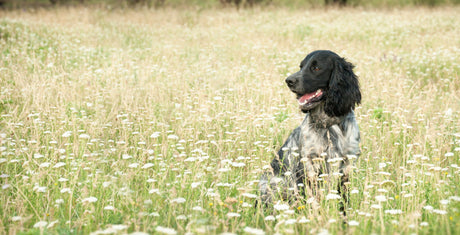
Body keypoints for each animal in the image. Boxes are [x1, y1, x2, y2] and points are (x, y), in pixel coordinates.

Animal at [258, 50, 360, 211]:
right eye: (301, 66)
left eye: (316, 68)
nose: (289, 80)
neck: (328, 125)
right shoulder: (309, 163)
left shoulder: (347, 163)